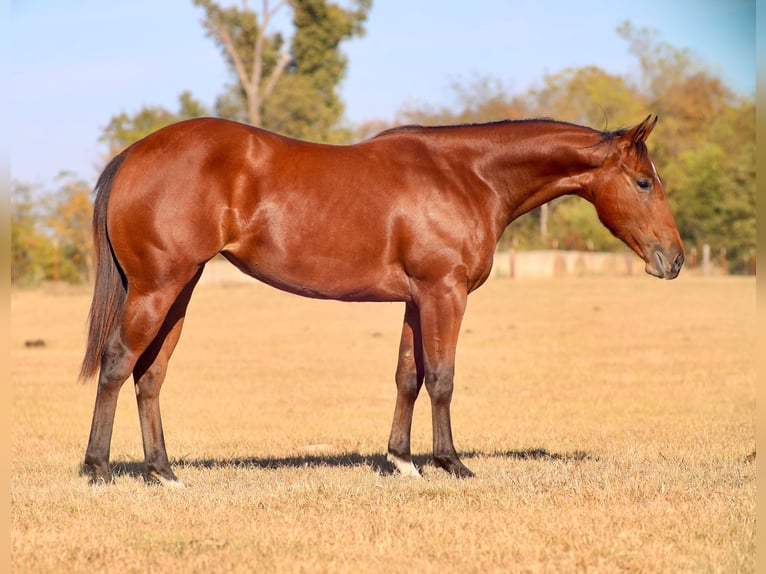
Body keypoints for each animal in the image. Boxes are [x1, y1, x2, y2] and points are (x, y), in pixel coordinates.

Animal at [81, 116, 688, 486]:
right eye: (643, 182)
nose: (674, 259)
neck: (467, 176)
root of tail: (134, 154)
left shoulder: (417, 300)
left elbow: (407, 377)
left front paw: (400, 460)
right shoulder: (445, 292)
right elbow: (441, 378)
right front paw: (450, 462)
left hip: (180, 291)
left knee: (150, 375)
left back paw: (164, 472)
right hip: (158, 288)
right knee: (117, 364)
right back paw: (98, 469)